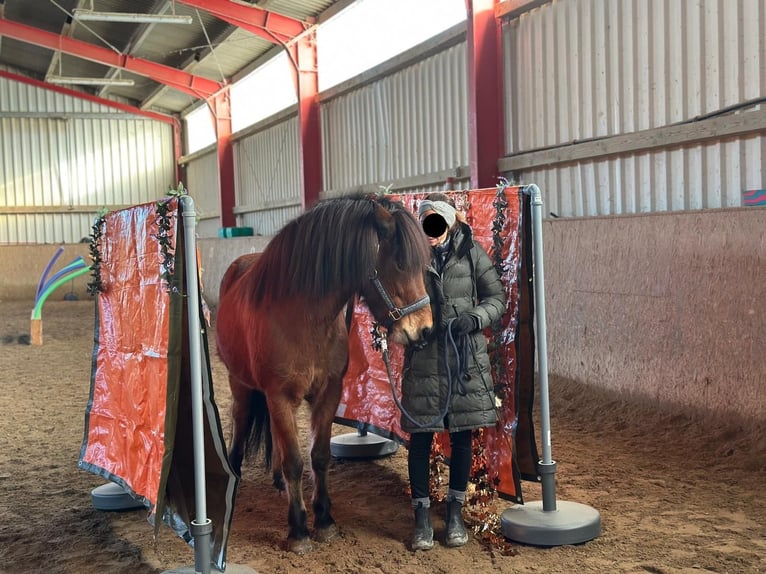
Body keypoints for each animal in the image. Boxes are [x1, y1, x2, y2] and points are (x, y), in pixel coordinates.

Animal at [216, 196, 436, 556]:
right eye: (400, 264)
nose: (425, 330)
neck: (303, 320)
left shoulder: (328, 393)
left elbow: (318, 456)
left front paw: (324, 521)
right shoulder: (279, 396)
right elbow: (294, 460)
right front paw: (298, 531)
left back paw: (278, 483)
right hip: (241, 384)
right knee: (240, 423)